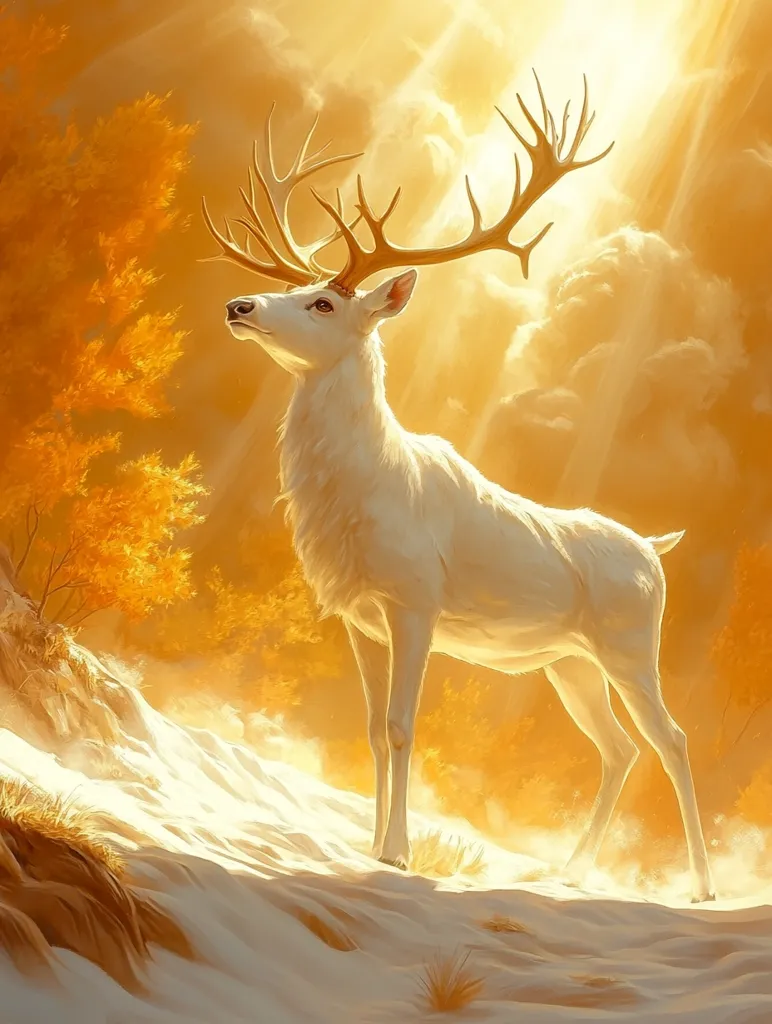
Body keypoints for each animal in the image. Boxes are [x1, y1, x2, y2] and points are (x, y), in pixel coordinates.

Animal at [201, 74, 715, 903]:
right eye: (299, 286)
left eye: (324, 302)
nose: (238, 305)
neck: (360, 495)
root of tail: (655, 546)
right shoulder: (358, 615)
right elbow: (370, 729)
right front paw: (366, 840)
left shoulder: (416, 601)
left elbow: (404, 727)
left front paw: (396, 853)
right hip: (569, 662)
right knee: (618, 748)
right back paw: (570, 869)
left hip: (633, 646)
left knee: (671, 737)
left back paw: (700, 886)